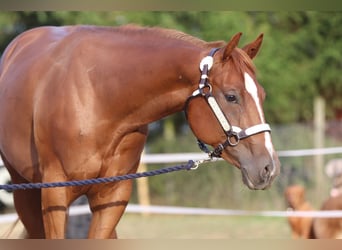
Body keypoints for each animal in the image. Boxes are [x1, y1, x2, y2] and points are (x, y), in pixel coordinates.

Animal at [0, 24, 280, 238]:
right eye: (232, 96)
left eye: (263, 95)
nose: (269, 167)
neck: (98, 96)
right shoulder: (54, 195)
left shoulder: (113, 197)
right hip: (26, 191)